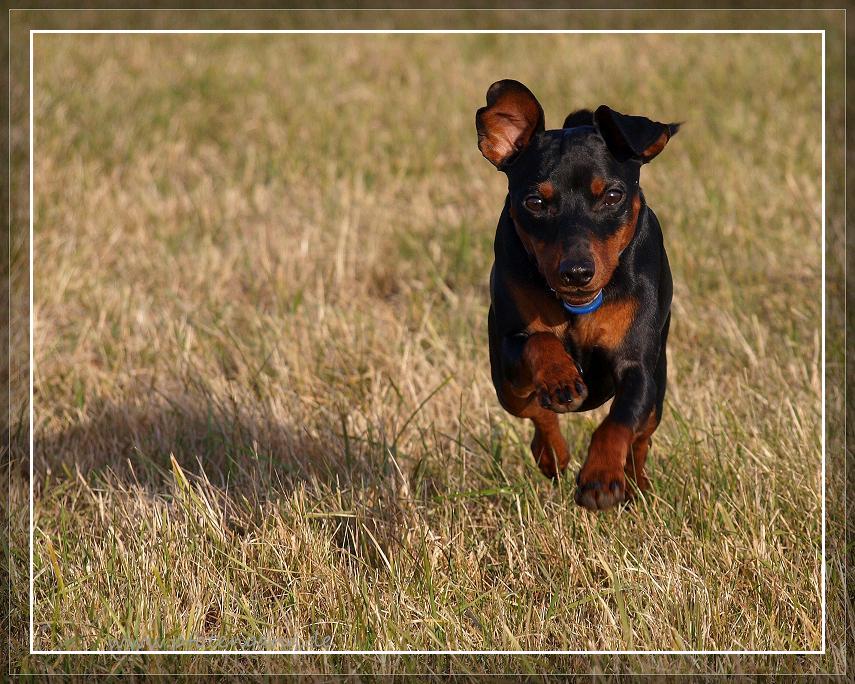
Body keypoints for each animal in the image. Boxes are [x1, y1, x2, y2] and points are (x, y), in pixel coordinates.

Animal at [478, 80, 680, 510]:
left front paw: (601, 479)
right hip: (508, 388)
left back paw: (635, 483)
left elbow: (619, 421)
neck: (577, 306)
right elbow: (538, 341)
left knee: (642, 433)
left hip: (659, 381)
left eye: (613, 196)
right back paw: (552, 453)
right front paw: (561, 378)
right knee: (535, 410)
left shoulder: (637, 365)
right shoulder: (508, 344)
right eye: (535, 201)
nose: (576, 272)